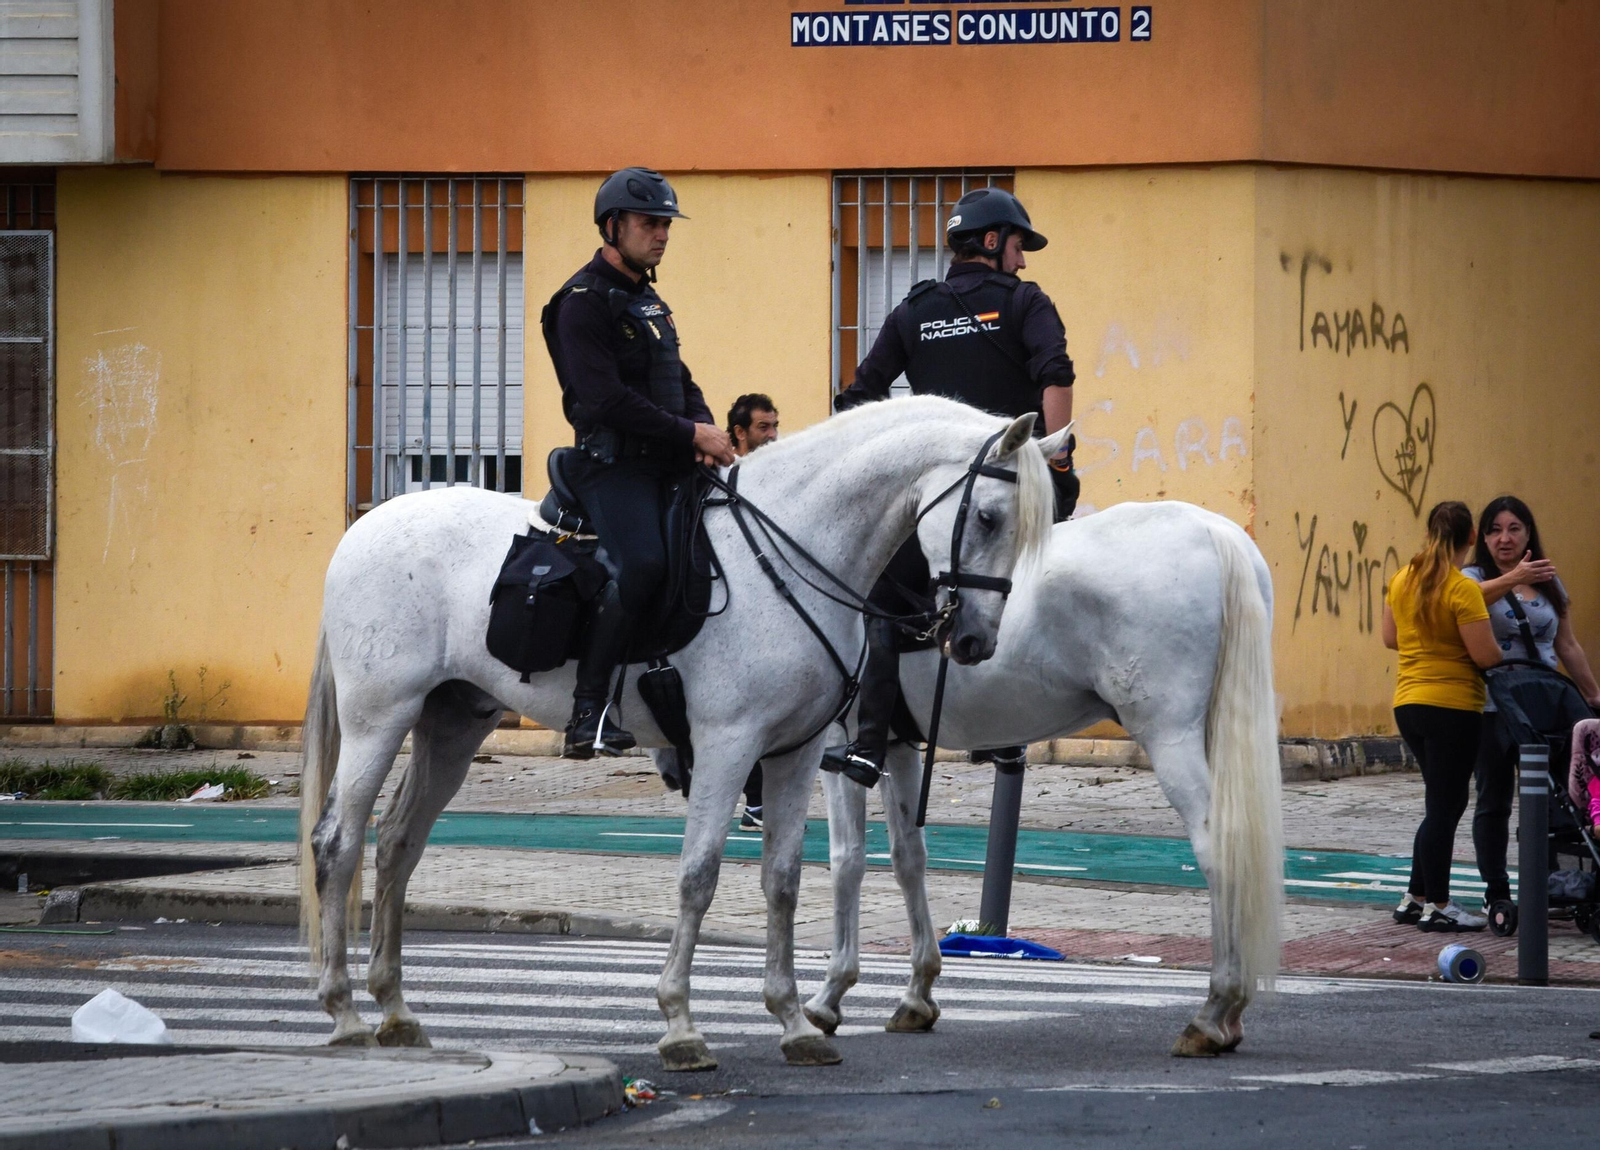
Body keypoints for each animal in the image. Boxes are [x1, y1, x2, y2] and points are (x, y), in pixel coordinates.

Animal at [296, 395, 1067, 1071]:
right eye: (990, 516)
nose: (974, 641)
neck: (795, 556)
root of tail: (365, 527)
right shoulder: (728, 746)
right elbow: (699, 875)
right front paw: (681, 1026)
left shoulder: (796, 754)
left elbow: (785, 879)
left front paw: (794, 1023)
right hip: (379, 718)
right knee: (337, 841)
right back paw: (344, 1012)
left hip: (452, 722)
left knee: (399, 843)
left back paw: (396, 1012)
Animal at [800, 500, 1284, 1058]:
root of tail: (1211, 528)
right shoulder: (897, 748)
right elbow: (908, 858)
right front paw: (917, 994)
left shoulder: (839, 746)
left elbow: (847, 862)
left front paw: (829, 997)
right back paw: (1230, 1015)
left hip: (1171, 737)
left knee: (1218, 848)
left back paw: (1213, 1013)